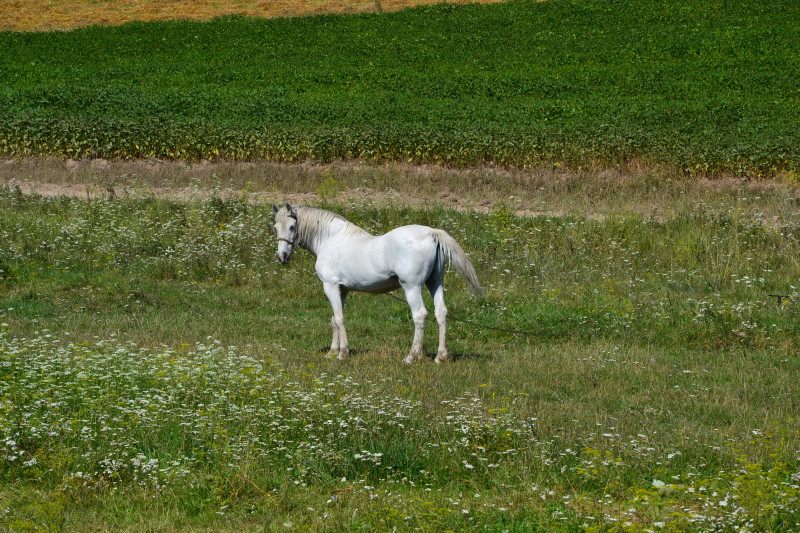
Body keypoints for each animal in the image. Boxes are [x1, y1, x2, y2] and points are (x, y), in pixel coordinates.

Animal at [272, 202, 484, 364]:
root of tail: (431, 233)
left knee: (420, 315)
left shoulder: (330, 286)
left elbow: (339, 319)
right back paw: (440, 357)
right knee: (441, 313)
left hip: (412, 287)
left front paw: (342, 353)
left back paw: (411, 356)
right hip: (435, 283)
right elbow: (334, 319)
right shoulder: (342, 290)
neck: (330, 239)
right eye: (275, 228)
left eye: (292, 227)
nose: (282, 257)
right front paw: (333, 351)